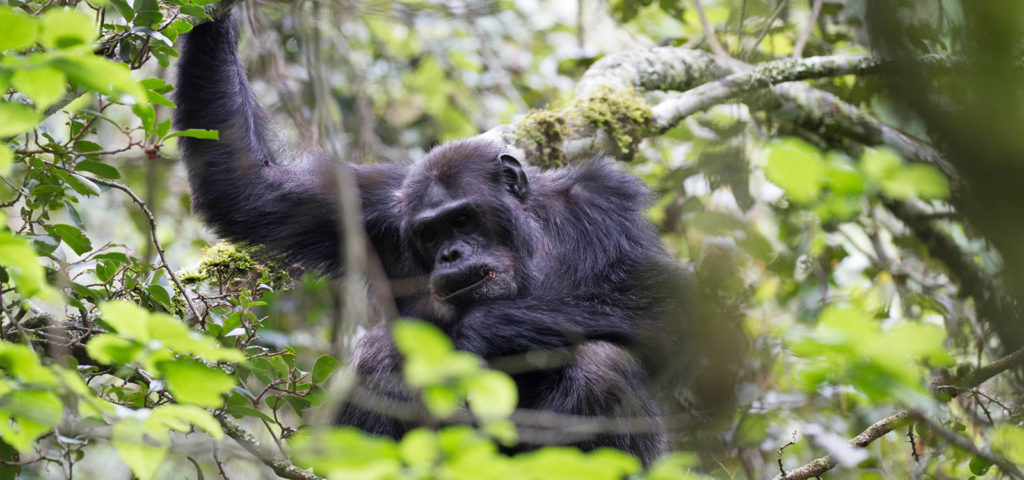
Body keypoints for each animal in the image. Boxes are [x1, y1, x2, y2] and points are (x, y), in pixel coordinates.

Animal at [174, 14, 696, 464]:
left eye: (463, 220)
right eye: (430, 232)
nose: (451, 252)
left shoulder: (608, 206)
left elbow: (675, 308)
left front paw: (489, 327)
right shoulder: (374, 208)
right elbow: (250, 188)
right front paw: (215, 19)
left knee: (603, 365)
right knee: (382, 358)